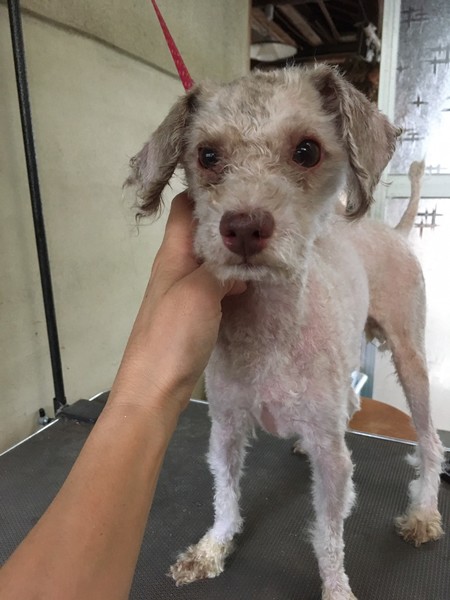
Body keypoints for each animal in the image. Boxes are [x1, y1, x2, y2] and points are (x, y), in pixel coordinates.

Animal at [126, 65, 443, 600]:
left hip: (410, 356)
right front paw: (212, 549)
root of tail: (395, 231)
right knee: (351, 402)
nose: (243, 227)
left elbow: (330, 538)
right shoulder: (226, 427)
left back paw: (422, 512)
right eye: (207, 156)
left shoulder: (334, 463)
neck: (270, 331)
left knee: (429, 442)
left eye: (307, 151)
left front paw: (336, 589)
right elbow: (226, 496)